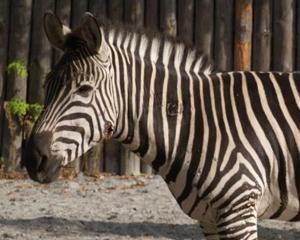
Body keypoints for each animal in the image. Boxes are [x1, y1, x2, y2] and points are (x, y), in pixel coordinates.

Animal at [23, 12, 300, 239]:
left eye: (84, 89)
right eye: (46, 85)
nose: (33, 159)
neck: (194, 125)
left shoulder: (239, 211)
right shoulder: (210, 219)